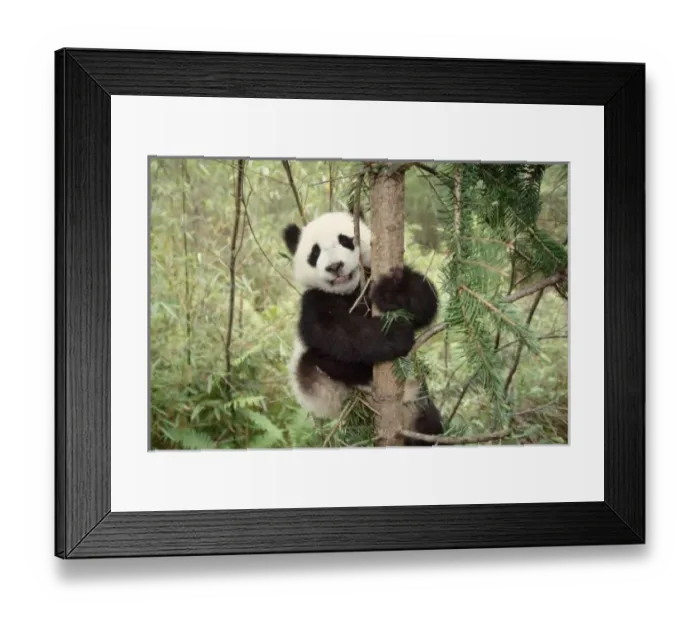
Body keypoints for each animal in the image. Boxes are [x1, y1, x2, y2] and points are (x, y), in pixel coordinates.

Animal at [282, 211, 444, 446]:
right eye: (315, 252)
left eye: (346, 240)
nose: (335, 266)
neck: (349, 291)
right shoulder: (314, 300)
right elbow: (333, 331)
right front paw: (394, 334)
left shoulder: (371, 277)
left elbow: (425, 300)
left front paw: (393, 292)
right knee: (319, 359)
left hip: (420, 405)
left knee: (431, 425)